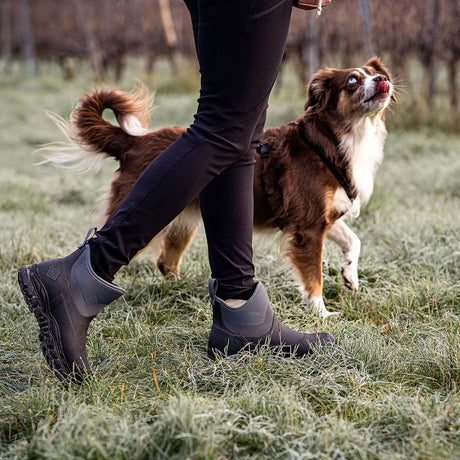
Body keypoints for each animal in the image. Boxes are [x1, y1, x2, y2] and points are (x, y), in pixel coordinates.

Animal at [45, 56, 396, 316]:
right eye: (352, 80)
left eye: (376, 74)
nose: (383, 80)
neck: (333, 140)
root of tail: (134, 142)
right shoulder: (308, 227)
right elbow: (313, 277)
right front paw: (321, 314)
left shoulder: (325, 216)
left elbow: (354, 241)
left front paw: (350, 276)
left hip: (181, 220)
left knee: (165, 262)